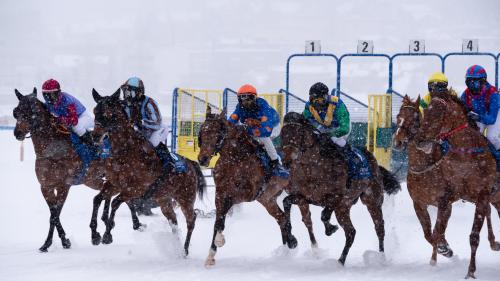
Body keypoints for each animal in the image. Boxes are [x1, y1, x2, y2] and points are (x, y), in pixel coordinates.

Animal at [12, 86, 141, 250]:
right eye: (16, 111)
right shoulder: (46, 187)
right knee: (110, 194)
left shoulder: (63, 185)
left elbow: (55, 215)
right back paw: (113, 224)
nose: (18, 133)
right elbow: (53, 213)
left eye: (32, 112)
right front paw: (51, 243)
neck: (53, 150)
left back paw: (126, 224)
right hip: (94, 180)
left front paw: (60, 241)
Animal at [91, 88, 205, 255]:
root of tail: (190, 164)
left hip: (185, 198)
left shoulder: (136, 188)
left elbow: (115, 202)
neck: (125, 150)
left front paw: (107, 235)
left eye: (109, 113)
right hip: (164, 200)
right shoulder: (114, 184)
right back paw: (176, 246)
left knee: (191, 220)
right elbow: (97, 199)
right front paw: (95, 235)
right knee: (173, 221)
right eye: (95, 111)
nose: (95, 136)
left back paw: (184, 250)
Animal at [199, 106, 304, 266]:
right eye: (202, 131)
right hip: (267, 199)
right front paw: (211, 255)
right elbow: (218, 222)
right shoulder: (220, 193)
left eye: (217, 133)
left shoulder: (247, 193)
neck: (235, 158)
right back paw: (289, 244)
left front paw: (220, 240)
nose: (202, 159)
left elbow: (226, 212)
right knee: (281, 219)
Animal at [280, 111, 400, 264]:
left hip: (371, 200)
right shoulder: (305, 197)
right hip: (343, 208)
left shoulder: (336, 197)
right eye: (282, 135)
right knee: (351, 232)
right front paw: (291, 240)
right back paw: (340, 261)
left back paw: (381, 257)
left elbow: (324, 215)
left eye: (299, 133)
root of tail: (374, 161)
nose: (286, 162)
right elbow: (286, 202)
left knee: (379, 227)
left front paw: (330, 228)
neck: (313, 167)